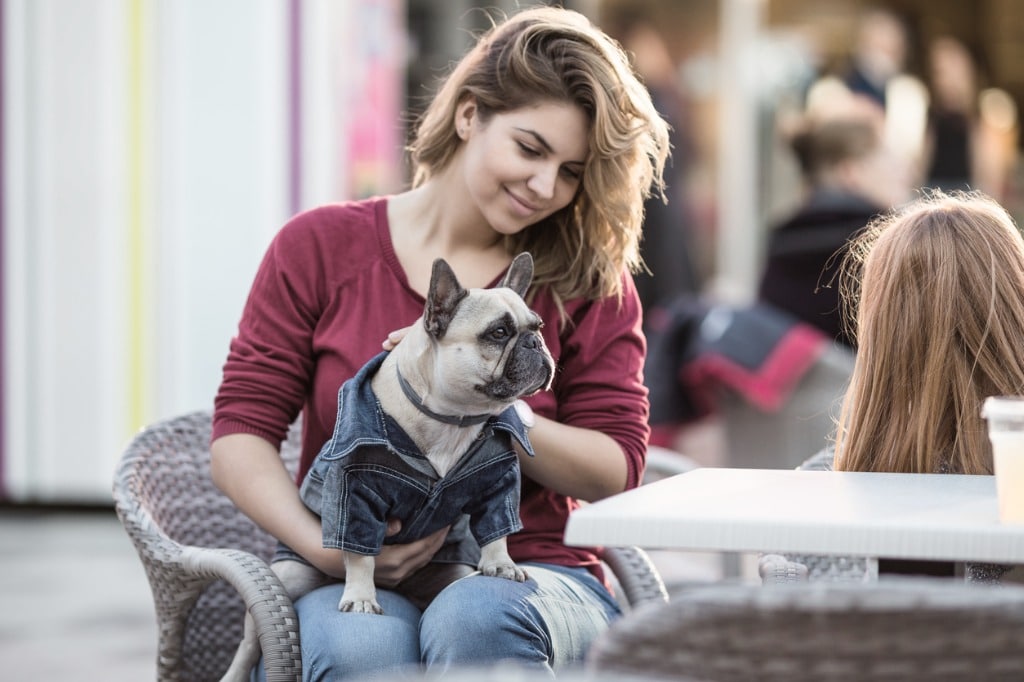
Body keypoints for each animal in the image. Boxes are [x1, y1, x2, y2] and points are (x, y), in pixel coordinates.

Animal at [224, 250, 552, 679]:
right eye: (498, 333)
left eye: (539, 326)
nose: (536, 342)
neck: (453, 418)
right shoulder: (356, 492)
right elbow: (360, 553)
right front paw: (362, 596)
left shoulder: (496, 479)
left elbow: (497, 526)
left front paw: (501, 563)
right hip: (290, 575)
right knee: (250, 643)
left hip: (451, 573)